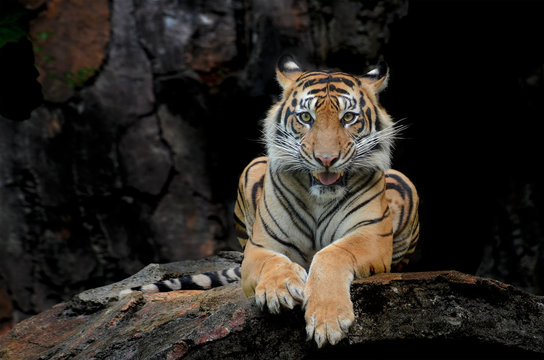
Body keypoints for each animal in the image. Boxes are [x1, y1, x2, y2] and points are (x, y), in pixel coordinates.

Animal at [121, 55, 418, 348]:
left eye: (348, 117)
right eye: (306, 117)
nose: (326, 159)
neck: (320, 198)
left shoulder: (370, 236)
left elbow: (331, 254)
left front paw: (327, 320)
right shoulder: (261, 246)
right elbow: (272, 263)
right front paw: (280, 290)